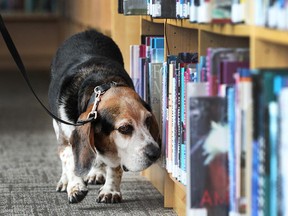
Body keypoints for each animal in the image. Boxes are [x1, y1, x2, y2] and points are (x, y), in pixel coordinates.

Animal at [49, 30, 162, 204]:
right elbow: (70, 161)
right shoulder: (67, 137)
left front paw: (111, 190)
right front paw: (75, 187)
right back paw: (65, 181)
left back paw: (96, 172)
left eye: (148, 120)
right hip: (57, 127)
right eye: (124, 128)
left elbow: (114, 167)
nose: (155, 153)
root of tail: (88, 32)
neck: (102, 84)